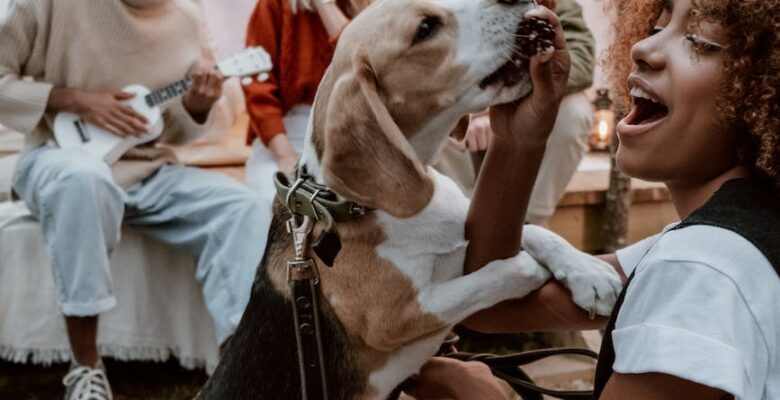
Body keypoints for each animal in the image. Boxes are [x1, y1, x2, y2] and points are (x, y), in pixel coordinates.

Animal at [200, 0, 620, 396]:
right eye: (425, 28)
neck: (358, 203)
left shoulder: (466, 226)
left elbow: (535, 231)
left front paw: (590, 272)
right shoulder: (398, 316)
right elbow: (501, 272)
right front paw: (531, 267)